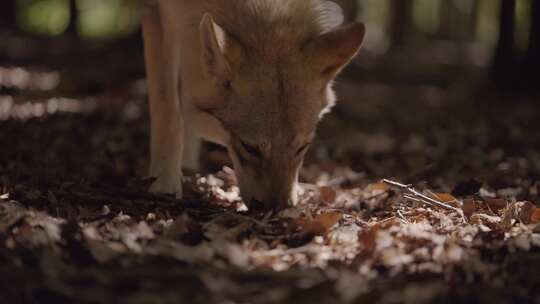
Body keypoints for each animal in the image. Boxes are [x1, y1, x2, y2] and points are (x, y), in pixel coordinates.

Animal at [141, 0, 364, 210]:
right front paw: (165, 183)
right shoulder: (156, 14)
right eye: (250, 148)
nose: (278, 208)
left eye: (301, 148)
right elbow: (169, 112)